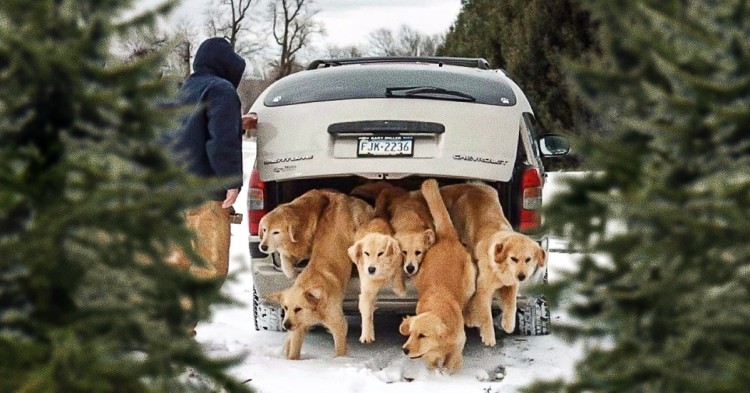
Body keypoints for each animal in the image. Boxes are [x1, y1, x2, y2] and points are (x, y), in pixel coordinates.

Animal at [266, 191, 374, 358]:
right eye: (285, 308)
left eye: (298, 308)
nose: (286, 325)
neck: (315, 309)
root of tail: (338, 197)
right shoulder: (298, 328)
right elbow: (294, 352)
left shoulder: (339, 326)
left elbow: (339, 351)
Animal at [348, 201, 406, 342]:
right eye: (366, 253)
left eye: (381, 253)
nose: (371, 269)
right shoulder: (367, 289)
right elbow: (366, 312)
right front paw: (367, 334)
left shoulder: (398, 259)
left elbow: (398, 272)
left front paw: (400, 290)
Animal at [400, 179, 476, 372]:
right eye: (410, 333)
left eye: (422, 335)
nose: (404, 349)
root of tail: (445, 236)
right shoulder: (429, 356)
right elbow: (431, 362)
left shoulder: (456, 348)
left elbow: (451, 363)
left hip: (469, 283)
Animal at [440, 182, 548, 344]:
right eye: (513, 259)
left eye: (528, 259)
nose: (521, 276)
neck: (501, 269)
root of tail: (469, 185)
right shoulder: (483, 289)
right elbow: (485, 314)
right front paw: (488, 336)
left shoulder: (511, 286)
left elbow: (512, 304)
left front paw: (508, 324)